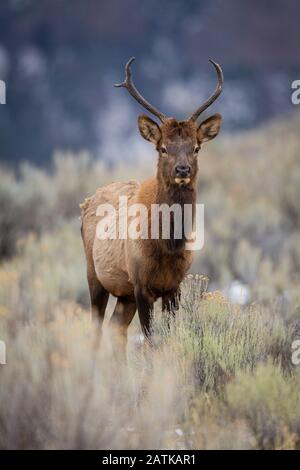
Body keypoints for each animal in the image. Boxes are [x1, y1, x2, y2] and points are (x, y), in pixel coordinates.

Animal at [81, 57, 224, 354]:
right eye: (163, 147)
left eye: (196, 147)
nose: (182, 169)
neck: (167, 245)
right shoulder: (141, 284)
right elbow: (150, 341)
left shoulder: (174, 286)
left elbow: (167, 338)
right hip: (94, 275)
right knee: (97, 329)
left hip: (124, 295)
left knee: (116, 329)